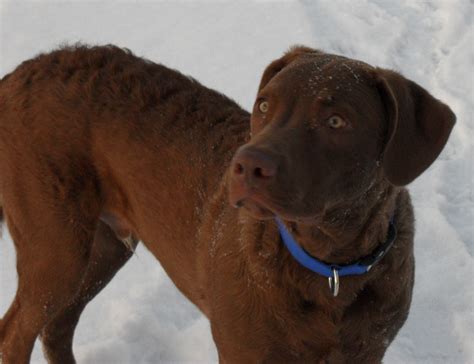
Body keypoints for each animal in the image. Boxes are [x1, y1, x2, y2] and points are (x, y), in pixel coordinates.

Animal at [0, 46, 456, 364]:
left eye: (336, 121)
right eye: (265, 105)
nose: (247, 164)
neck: (329, 265)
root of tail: (17, 74)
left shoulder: (367, 350)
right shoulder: (244, 350)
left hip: (104, 245)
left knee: (57, 327)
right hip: (56, 245)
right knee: (17, 332)